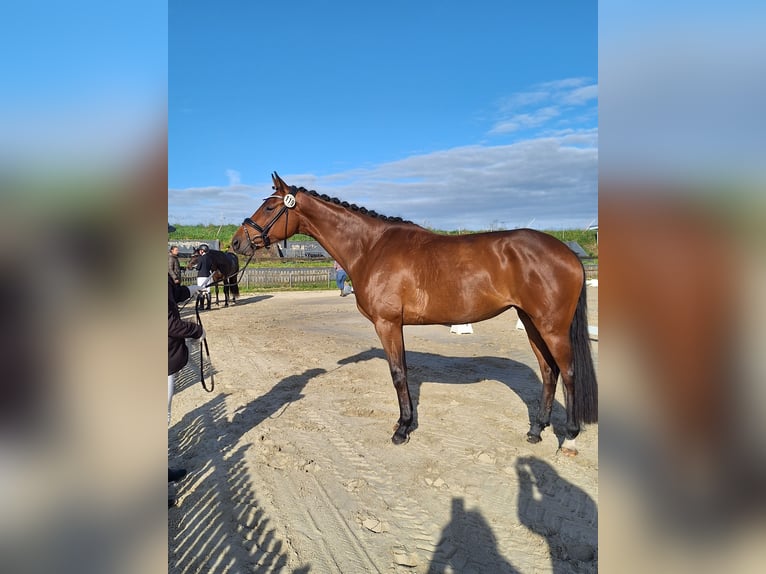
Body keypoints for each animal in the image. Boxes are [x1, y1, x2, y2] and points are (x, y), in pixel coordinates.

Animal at [230, 173, 597, 454]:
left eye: (269, 206)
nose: (236, 243)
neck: (370, 247)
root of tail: (568, 253)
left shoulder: (388, 324)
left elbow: (398, 374)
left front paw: (402, 429)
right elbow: (403, 372)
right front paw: (404, 422)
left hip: (551, 326)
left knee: (568, 373)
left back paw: (569, 438)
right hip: (530, 321)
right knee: (549, 372)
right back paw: (536, 430)